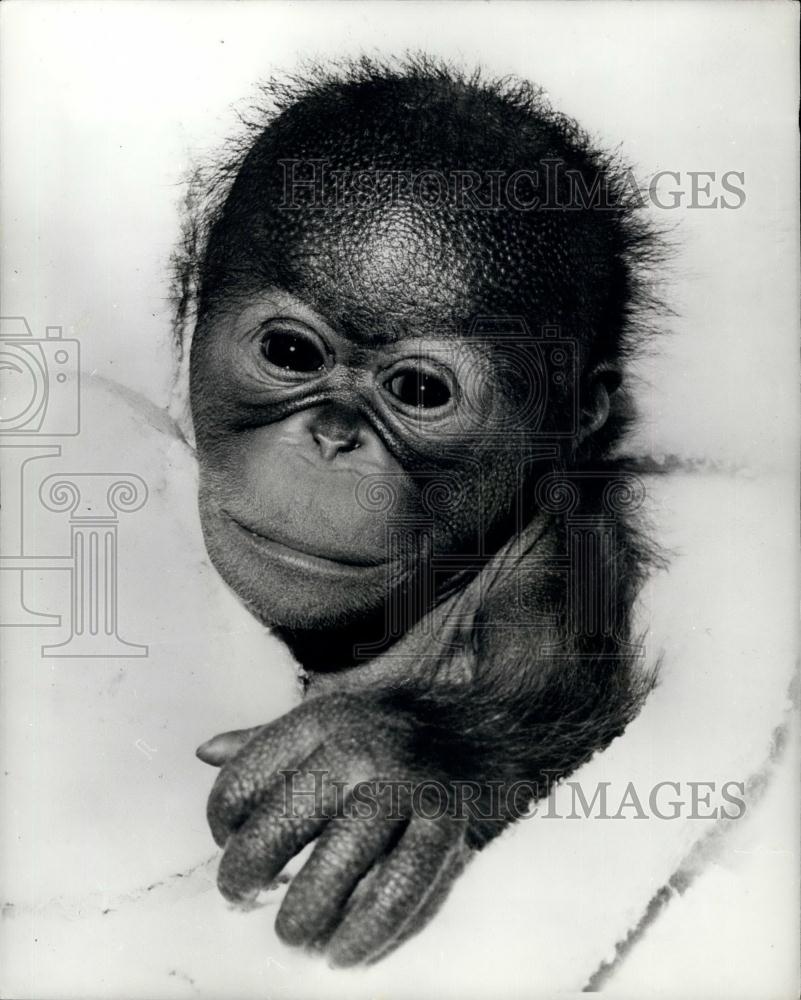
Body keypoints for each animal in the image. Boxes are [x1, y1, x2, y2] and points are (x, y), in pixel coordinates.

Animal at [174, 56, 664, 967]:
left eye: (419, 392)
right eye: (289, 352)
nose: (332, 438)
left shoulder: (552, 559)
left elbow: (555, 685)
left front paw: (392, 760)